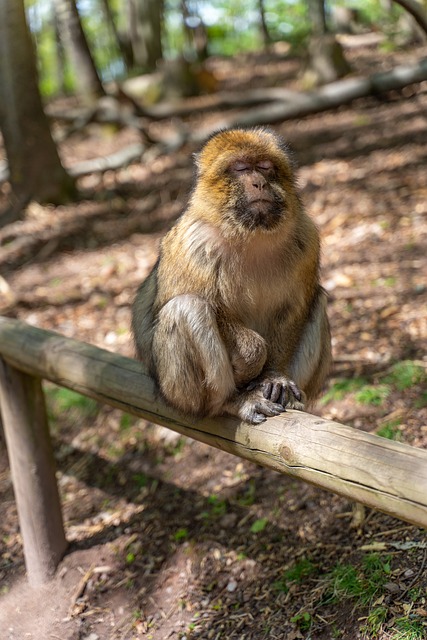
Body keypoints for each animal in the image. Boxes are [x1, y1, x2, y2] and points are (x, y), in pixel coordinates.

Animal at [132, 127, 332, 422]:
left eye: (265, 166)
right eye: (240, 168)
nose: (259, 183)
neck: (251, 234)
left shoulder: (307, 237)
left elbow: (295, 307)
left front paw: (275, 376)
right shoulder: (193, 243)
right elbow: (177, 306)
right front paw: (252, 359)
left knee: (317, 299)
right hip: (177, 393)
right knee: (186, 307)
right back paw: (232, 401)